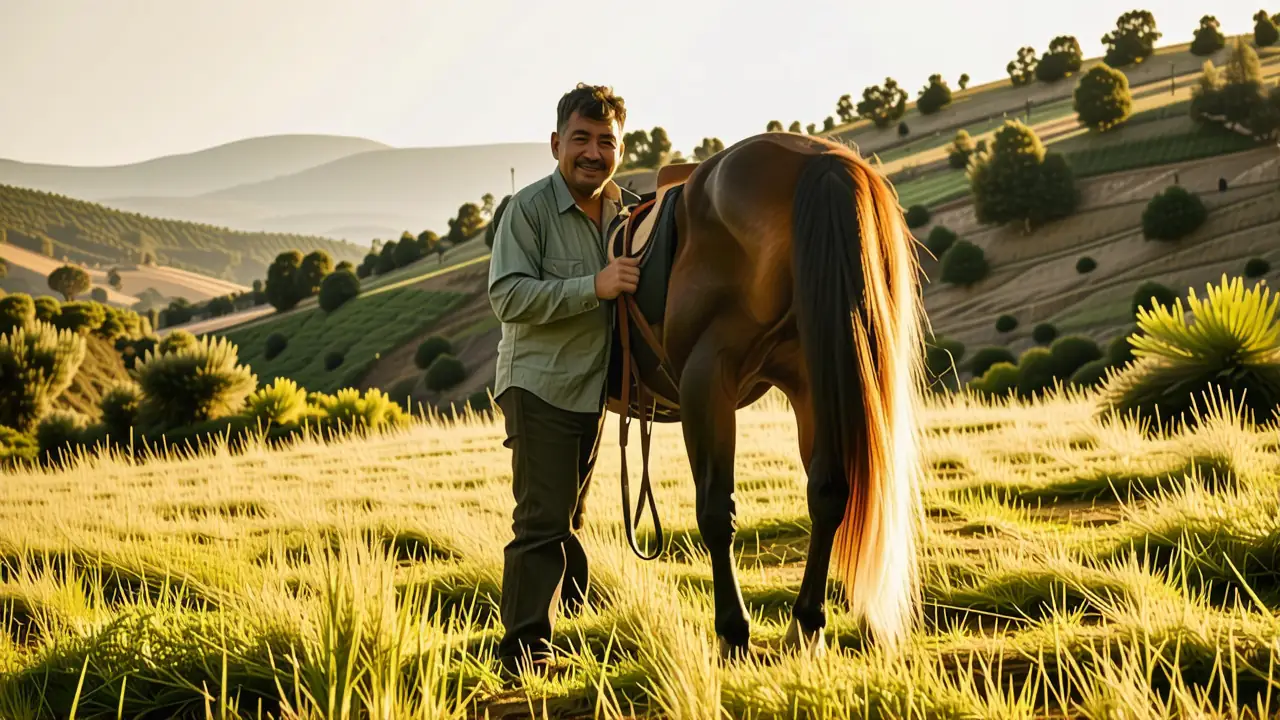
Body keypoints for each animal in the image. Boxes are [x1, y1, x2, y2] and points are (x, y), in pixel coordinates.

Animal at [623, 130, 927, 658]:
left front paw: (733, 633)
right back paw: (806, 624)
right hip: (816, 383)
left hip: (714, 382)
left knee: (720, 510)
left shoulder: (706, 382)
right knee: (829, 492)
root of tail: (820, 162)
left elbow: (713, 508)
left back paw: (748, 630)